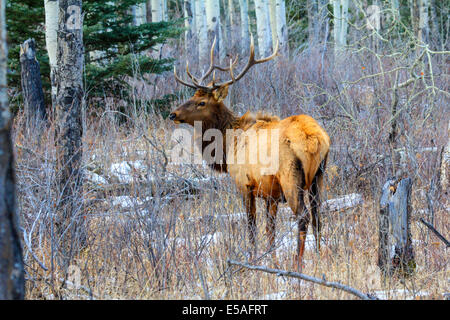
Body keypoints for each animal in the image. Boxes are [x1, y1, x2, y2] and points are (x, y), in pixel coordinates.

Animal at [170, 37, 330, 270]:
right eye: (192, 95)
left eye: (202, 102)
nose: (173, 113)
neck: (227, 147)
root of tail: (316, 139)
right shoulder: (271, 193)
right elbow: (270, 229)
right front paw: (271, 259)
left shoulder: (244, 184)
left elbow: (252, 226)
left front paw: (253, 259)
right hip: (319, 176)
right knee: (318, 216)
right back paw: (318, 256)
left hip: (291, 178)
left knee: (304, 217)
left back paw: (297, 264)